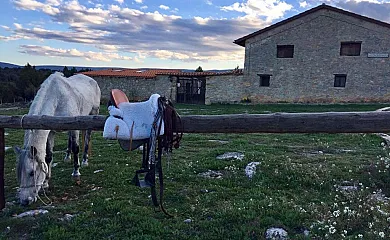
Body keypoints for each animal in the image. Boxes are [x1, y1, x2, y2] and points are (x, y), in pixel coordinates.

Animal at [14, 72, 100, 205]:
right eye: (18, 174)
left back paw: (85, 160)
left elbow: (76, 149)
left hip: (92, 114)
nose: (24, 201)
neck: (57, 98)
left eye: (32, 173)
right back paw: (67, 157)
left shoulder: (74, 128)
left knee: (87, 138)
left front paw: (76, 173)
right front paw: (45, 183)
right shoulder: (50, 131)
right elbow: (48, 156)